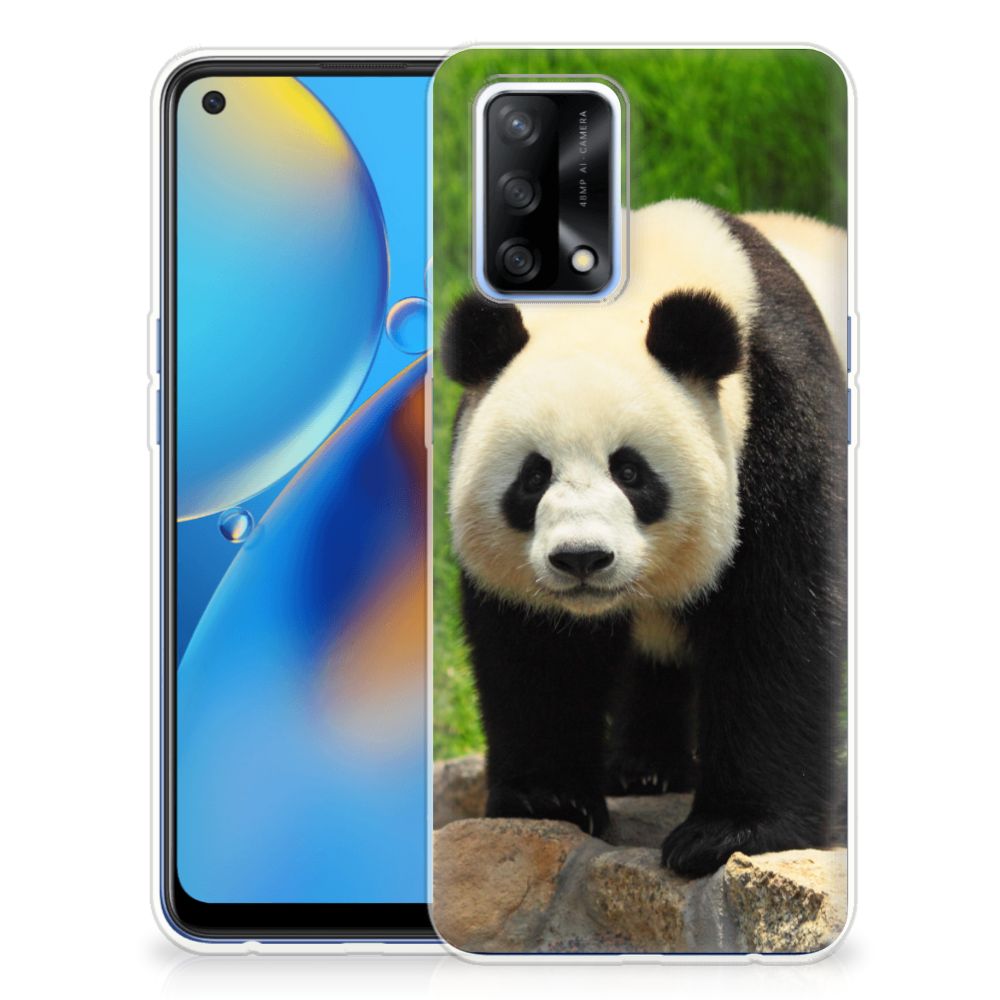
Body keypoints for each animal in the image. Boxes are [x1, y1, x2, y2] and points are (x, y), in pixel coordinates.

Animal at [441, 199, 847, 877]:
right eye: (533, 476)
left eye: (630, 472)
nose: (582, 558)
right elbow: (536, 649)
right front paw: (549, 800)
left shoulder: (781, 421)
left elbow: (776, 624)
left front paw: (729, 833)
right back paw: (644, 769)